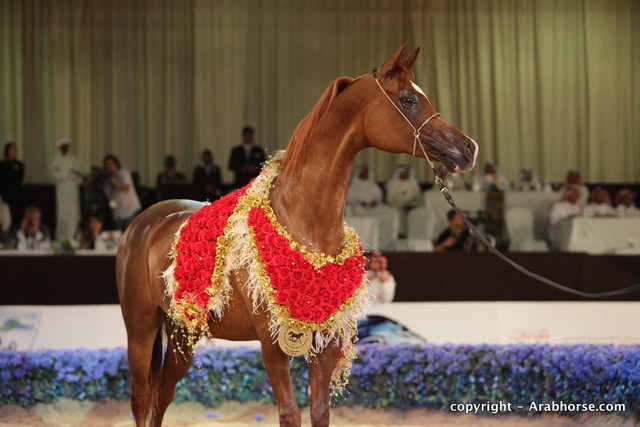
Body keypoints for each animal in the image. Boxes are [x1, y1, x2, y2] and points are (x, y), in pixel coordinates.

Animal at [116, 43, 478, 427]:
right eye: (408, 99)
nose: (469, 148)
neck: (303, 224)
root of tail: (142, 224)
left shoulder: (327, 342)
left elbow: (319, 411)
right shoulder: (272, 342)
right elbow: (289, 413)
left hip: (182, 333)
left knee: (161, 398)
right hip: (141, 330)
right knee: (142, 399)